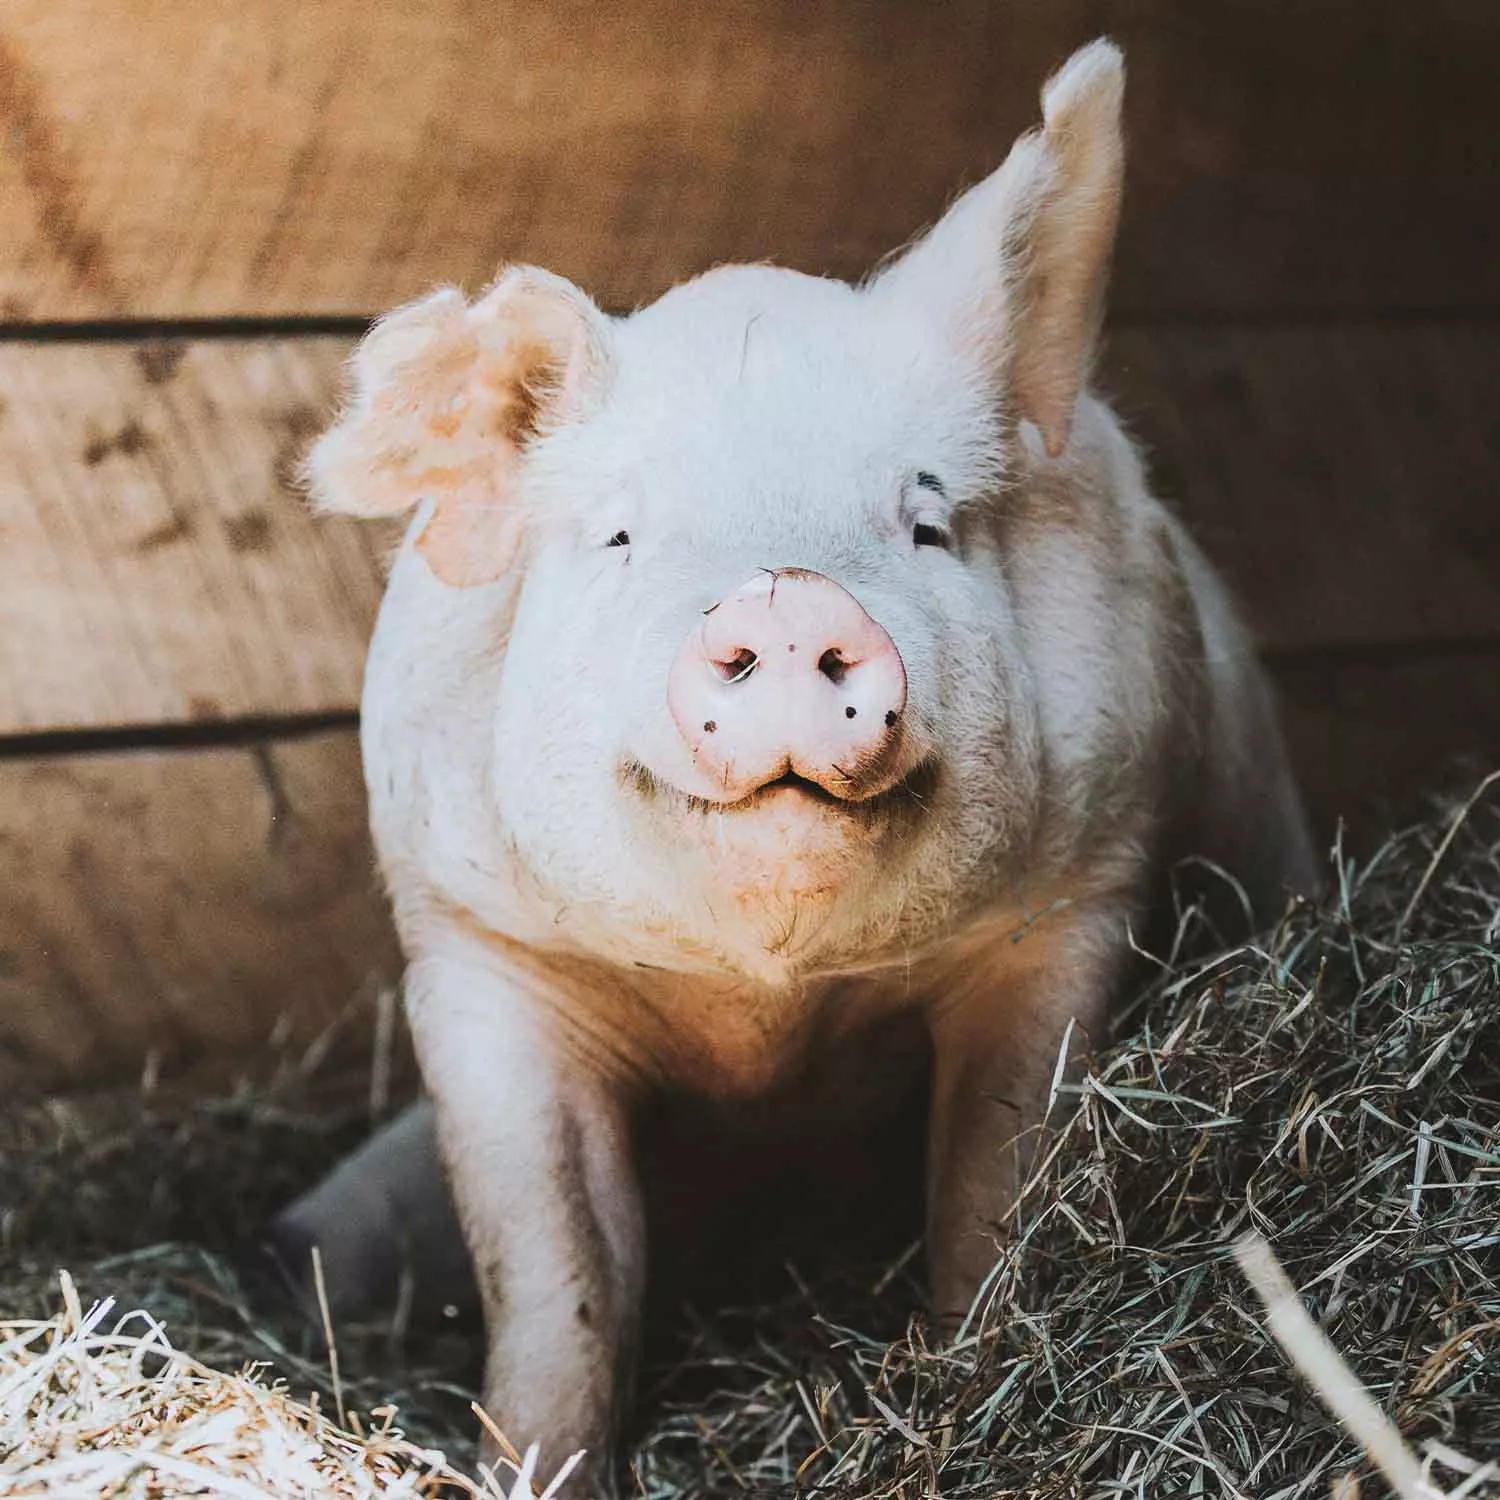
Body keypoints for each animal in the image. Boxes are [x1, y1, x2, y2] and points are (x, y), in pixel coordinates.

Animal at [273, 38, 1314, 1500]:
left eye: (926, 522)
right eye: (620, 535)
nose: (782, 592)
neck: (768, 1012)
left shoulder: (1070, 907)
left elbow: (994, 1193)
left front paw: (974, 1380)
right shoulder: (474, 953)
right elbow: (553, 1275)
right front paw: (531, 1460)